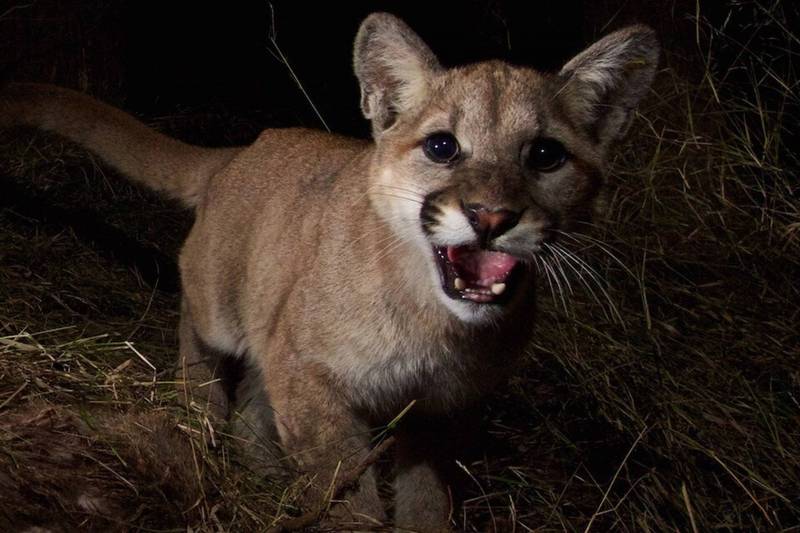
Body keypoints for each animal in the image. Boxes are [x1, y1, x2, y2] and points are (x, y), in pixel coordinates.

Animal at [1, 12, 656, 532]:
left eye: (546, 155)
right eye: (442, 147)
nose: (490, 216)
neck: (436, 323)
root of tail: (242, 150)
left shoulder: (440, 412)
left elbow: (426, 501)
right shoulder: (311, 376)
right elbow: (346, 489)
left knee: (252, 410)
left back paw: (260, 474)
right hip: (221, 306)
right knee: (197, 332)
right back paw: (198, 414)